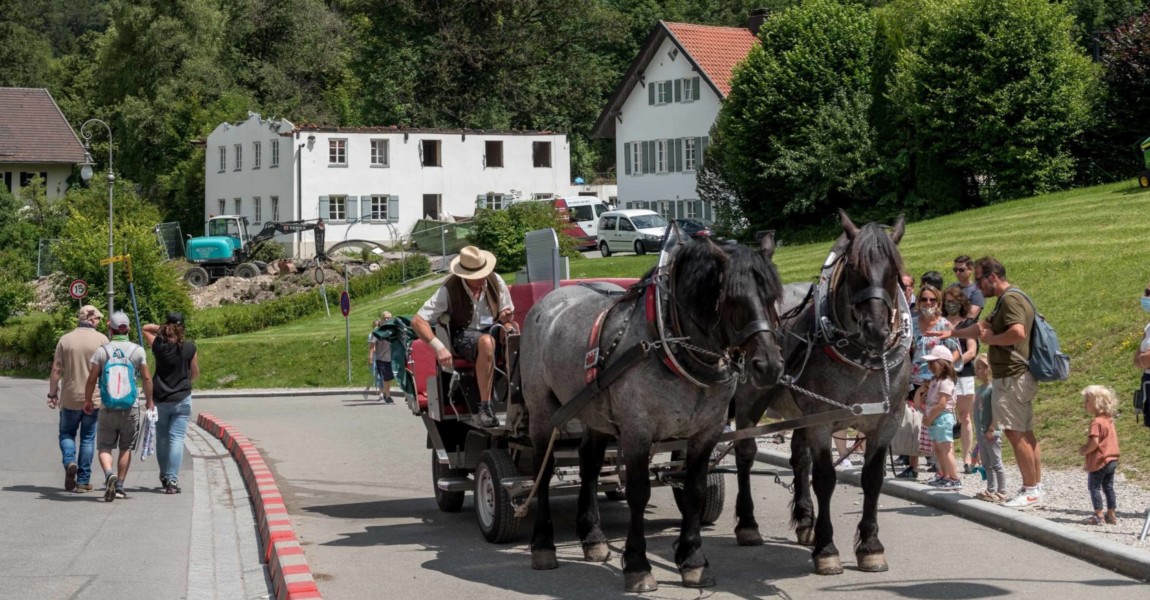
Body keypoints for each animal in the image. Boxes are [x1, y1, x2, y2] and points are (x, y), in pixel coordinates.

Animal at [524, 232, 786, 588]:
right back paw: (542, 544)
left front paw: (692, 559)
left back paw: (592, 538)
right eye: (733, 299)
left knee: (590, 463)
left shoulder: (706, 432)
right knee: (544, 468)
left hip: (593, 410)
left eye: (773, 297)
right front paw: (637, 564)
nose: (769, 366)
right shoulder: (637, 431)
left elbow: (695, 490)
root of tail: (550, 298)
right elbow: (638, 492)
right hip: (541, 411)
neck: (668, 342)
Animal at [731, 210, 910, 574]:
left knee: (799, 457)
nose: (876, 329)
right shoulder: (821, 420)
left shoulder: (888, 419)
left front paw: (870, 546)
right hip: (751, 398)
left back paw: (805, 521)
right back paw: (748, 524)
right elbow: (825, 478)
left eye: (895, 271)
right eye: (854, 269)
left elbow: (872, 479)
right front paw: (827, 549)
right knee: (745, 452)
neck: (862, 358)